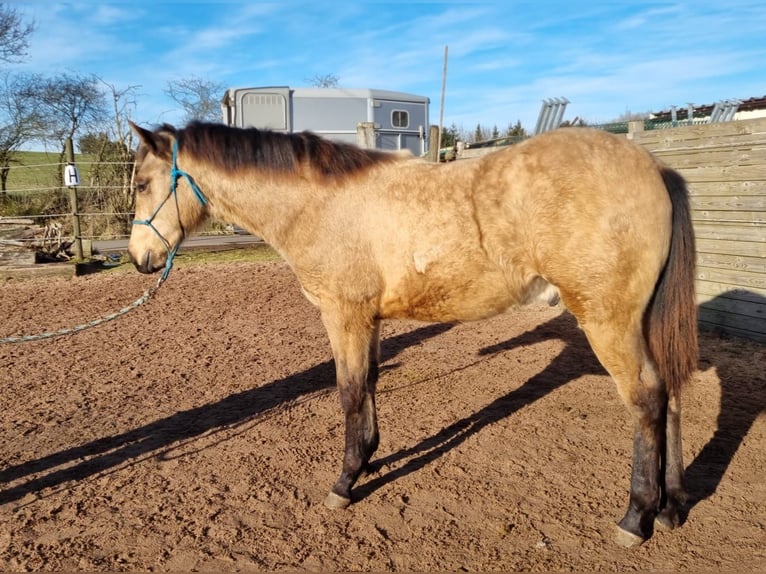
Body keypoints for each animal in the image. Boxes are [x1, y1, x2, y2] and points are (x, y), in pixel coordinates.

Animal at [129, 121, 700, 548]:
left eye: (140, 184)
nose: (139, 259)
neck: (319, 204)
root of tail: (655, 166)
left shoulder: (344, 316)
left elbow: (349, 391)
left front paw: (345, 482)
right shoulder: (370, 321)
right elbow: (369, 385)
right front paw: (369, 458)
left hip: (608, 321)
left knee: (646, 399)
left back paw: (636, 516)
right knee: (670, 395)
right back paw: (671, 507)